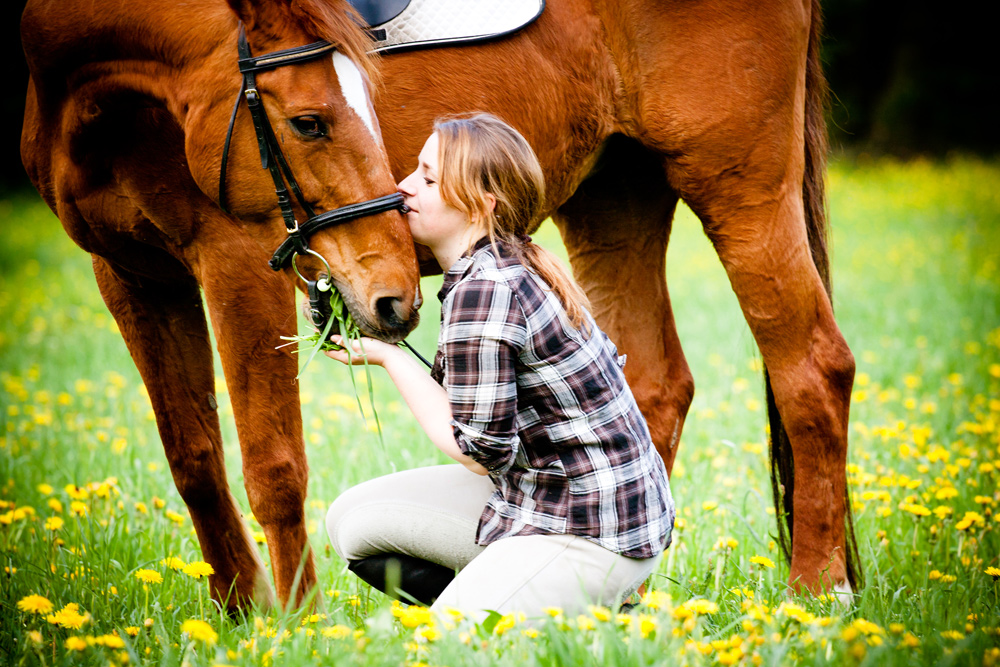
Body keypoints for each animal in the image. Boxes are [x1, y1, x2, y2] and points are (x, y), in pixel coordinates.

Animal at [19, 0, 860, 612]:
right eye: (308, 120)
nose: (394, 293)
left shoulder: (237, 258)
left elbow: (273, 465)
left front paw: (295, 624)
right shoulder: (130, 274)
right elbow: (193, 459)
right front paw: (238, 613)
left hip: (741, 186)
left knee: (813, 369)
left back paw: (817, 593)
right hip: (615, 193)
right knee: (653, 385)